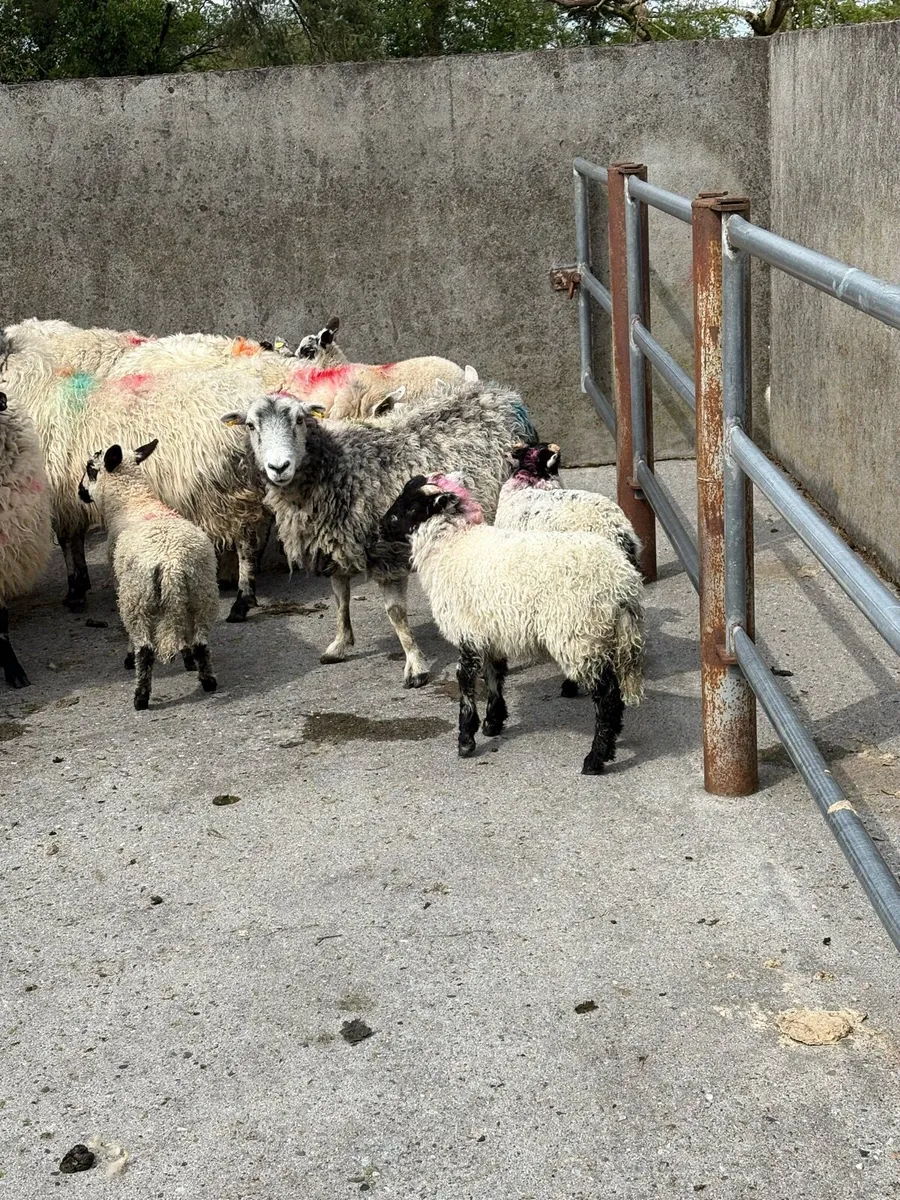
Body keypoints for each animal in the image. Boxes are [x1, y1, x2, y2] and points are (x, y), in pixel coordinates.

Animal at [78, 439, 219, 710]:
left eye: (91, 468)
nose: (80, 492)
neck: (133, 501)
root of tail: (172, 563)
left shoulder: (120, 585)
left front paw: (128, 656)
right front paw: (185, 656)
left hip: (137, 597)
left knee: (145, 650)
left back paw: (140, 697)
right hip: (202, 591)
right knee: (201, 642)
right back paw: (207, 681)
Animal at [222, 380, 537, 687]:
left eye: (299, 419)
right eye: (250, 425)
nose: (278, 467)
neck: (340, 469)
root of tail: (499, 393)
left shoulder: (387, 553)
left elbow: (395, 613)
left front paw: (415, 665)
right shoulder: (333, 549)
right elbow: (340, 599)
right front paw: (339, 644)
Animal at [375, 474, 645, 774]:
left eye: (412, 508)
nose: (380, 527)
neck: (450, 547)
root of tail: (621, 584)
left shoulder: (467, 629)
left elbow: (465, 681)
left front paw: (466, 740)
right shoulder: (491, 629)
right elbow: (494, 673)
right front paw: (493, 722)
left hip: (579, 634)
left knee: (607, 696)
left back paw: (595, 758)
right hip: (599, 634)